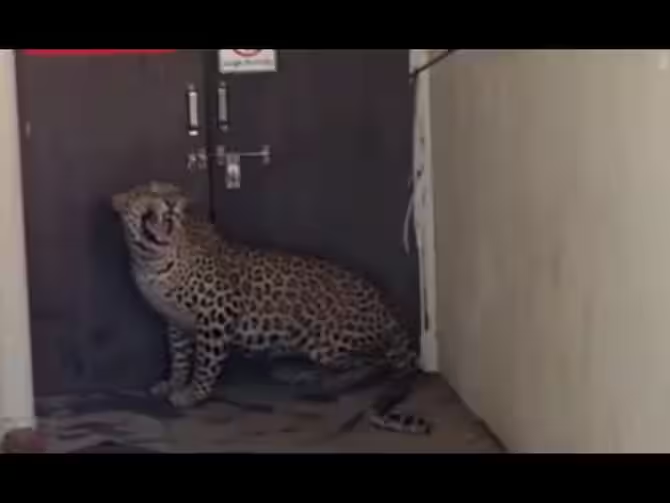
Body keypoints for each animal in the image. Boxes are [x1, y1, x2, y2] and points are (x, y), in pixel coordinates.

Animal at [111, 181, 431, 435]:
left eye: (174, 191)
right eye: (151, 191)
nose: (172, 202)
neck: (151, 261)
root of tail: (390, 306)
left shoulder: (217, 311)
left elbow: (205, 363)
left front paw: (192, 395)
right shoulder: (175, 322)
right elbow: (179, 358)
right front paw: (172, 383)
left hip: (329, 341)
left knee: (380, 362)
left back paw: (329, 381)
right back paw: (303, 374)